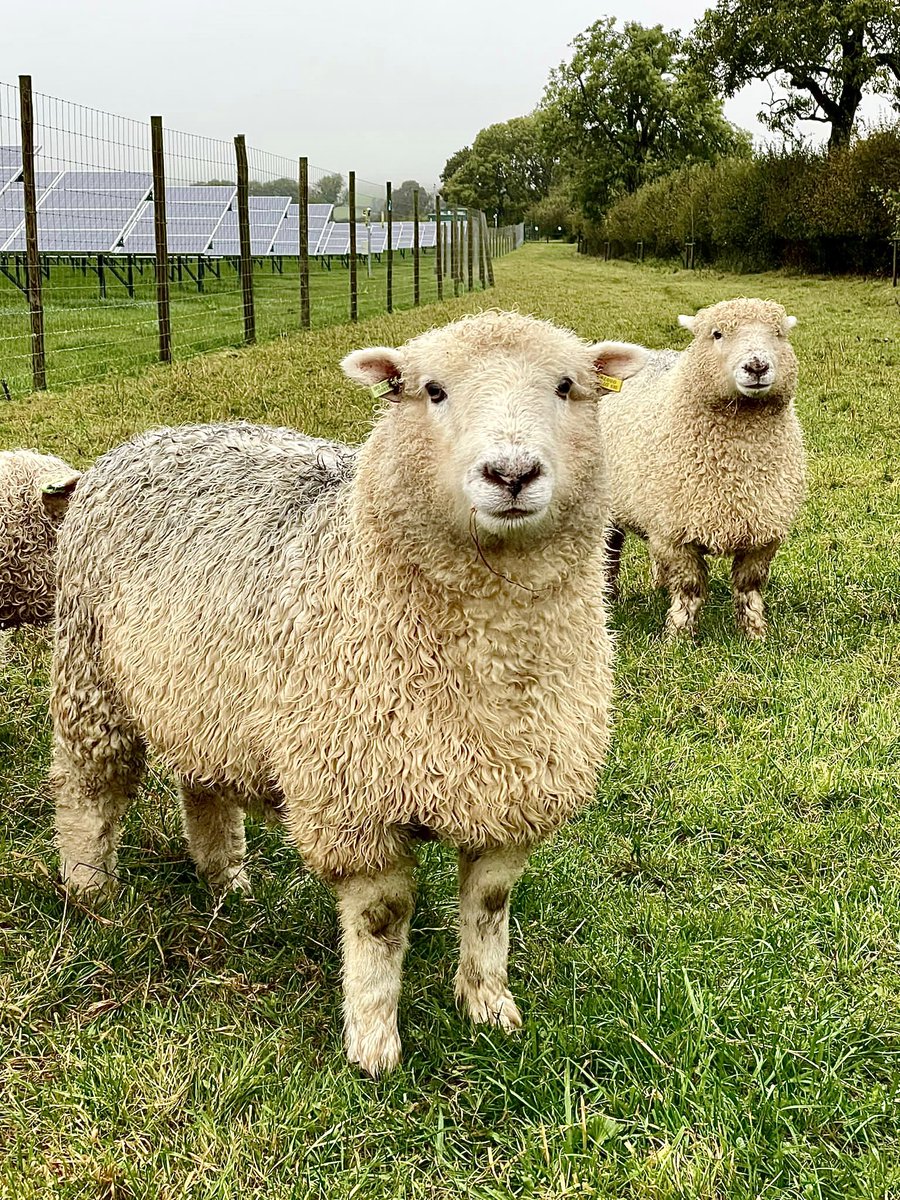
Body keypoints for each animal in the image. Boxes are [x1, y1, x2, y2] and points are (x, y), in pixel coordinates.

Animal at [49, 309, 650, 1077]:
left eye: (568, 386)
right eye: (431, 390)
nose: (511, 474)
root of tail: (148, 436)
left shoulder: (511, 792)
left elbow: (489, 906)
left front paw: (489, 1009)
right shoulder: (356, 798)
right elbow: (380, 921)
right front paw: (373, 1044)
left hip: (204, 696)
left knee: (202, 785)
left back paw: (227, 882)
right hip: (89, 672)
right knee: (88, 789)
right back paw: (91, 891)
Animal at [598, 298, 805, 639]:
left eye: (778, 334)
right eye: (717, 334)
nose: (757, 367)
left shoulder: (763, 530)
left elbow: (749, 587)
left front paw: (755, 633)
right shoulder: (676, 533)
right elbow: (689, 588)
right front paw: (678, 636)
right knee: (609, 554)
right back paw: (608, 597)